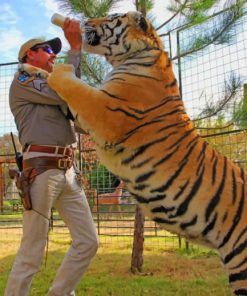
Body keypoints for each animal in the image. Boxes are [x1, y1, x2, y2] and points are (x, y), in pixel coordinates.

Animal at [22, 11, 246, 294]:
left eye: (111, 17)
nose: (85, 23)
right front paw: (30, 68)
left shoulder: (102, 111)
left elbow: (69, 83)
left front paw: (55, 68)